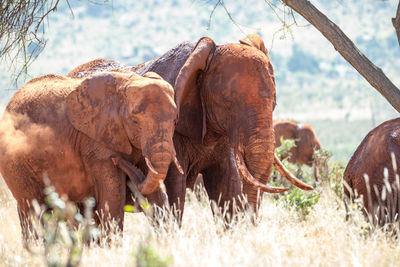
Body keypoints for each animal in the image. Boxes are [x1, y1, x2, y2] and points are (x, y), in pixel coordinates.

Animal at [0, 70, 181, 240]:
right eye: (134, 121)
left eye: (175, 121)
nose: (118, 160)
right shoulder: (95, 144)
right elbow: (112, 198)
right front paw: (112, 247)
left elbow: (155, 196)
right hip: (14, 160)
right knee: (34, 209)